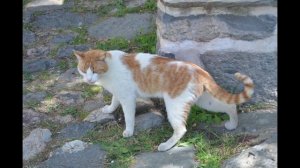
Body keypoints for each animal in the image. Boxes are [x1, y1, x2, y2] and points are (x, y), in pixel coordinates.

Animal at [72, 49, 253, 152]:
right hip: (206, 102)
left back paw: (166, 145)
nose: (88, 80)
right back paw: (232, 124)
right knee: (230, 106)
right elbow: (114, 101)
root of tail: (199, 70)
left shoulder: (128, 98)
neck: (109, 69)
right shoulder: (119, 93)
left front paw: (129, 131)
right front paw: (109, 109)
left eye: (94, 70)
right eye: (83, 70)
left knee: (181, 129)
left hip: (175, 106)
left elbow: (129, 117)